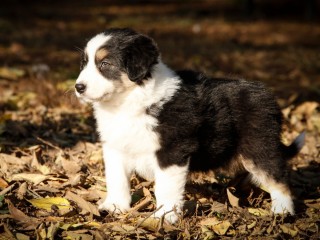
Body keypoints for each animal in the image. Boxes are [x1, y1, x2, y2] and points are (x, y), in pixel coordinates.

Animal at [74, 28, 302, 223]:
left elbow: (165, 188)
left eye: (105, 64)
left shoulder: (172, 151)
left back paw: (282, 212)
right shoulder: (115, 147)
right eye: (84, 63)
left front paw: (163, 218)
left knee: (278, 178)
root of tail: (268, 94)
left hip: (259, 146)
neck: (127, 101)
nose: (78, 87)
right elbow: (116, 179)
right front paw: (114, 207)